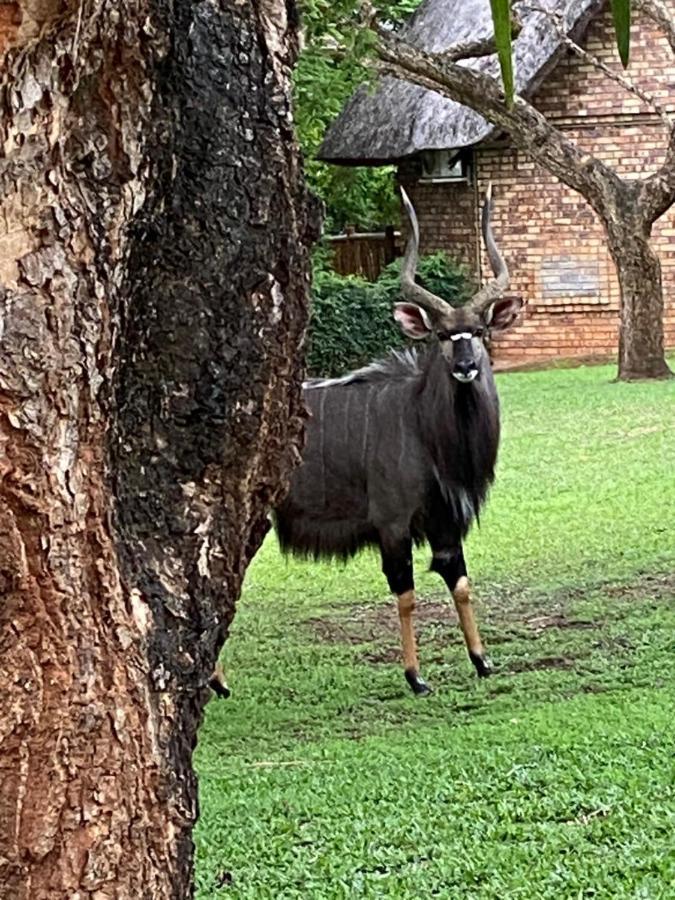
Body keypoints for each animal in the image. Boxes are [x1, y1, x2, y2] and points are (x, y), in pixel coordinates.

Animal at [270, 185, 524, 696]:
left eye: (479, 330)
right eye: (443, 334)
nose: (465, 367)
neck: (425, 430)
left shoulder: (446, 523)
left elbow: (460, 583)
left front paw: (482, 660)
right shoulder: (393, 522)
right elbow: (405, 593)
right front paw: (415, 677)